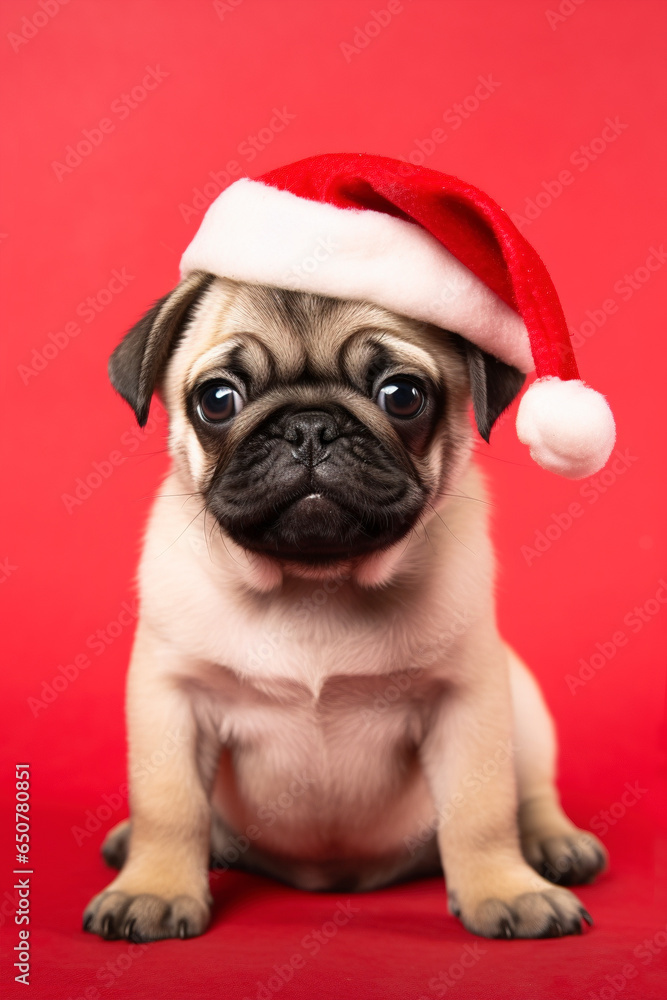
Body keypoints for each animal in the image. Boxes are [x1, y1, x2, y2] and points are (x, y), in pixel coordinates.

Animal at [82, 270, 604, 940]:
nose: (309, 426)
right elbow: (169, 805)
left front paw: (506, 891)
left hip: (527, 710)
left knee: (532, 793)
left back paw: (555, 844)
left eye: (403, 395)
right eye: (217, 400)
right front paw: (154, 889)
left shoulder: (469, 700)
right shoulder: (171, 696)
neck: (315, 585)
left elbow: (481, 810)